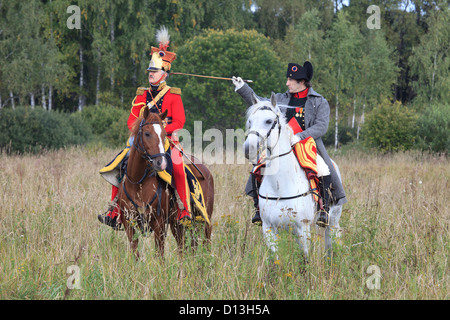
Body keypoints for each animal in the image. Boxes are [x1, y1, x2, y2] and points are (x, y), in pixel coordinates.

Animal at [116, 108, 214, 260]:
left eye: (163, 135)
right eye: (147, 133)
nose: (160, 163)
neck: (138, 183)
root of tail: (206, 171)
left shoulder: (159, 223)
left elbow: (159, 255)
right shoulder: (129, 222)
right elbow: (135, 252)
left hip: (203, 218)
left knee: (205, 241)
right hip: (178, 224)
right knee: (185, 246)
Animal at [244, 92, 342, 258]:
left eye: (268, 121)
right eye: (250, 121)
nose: (248, 148)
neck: (279, 185)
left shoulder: (302, 228)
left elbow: (305, 258)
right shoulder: (269, 229)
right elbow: (275, 259)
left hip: (332, 220)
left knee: (331, 242)